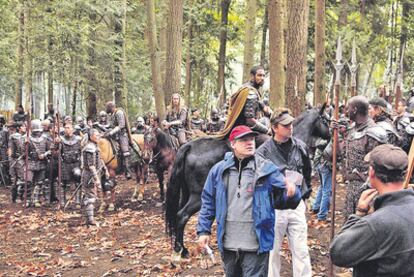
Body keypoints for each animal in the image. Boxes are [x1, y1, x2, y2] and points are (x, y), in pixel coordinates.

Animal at [165, 103, 330, 256]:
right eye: (325, 120)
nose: (329, 138)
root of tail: (188, 146)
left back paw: (179, 247)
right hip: (198, 197)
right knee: (182, 216)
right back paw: (182, 249)